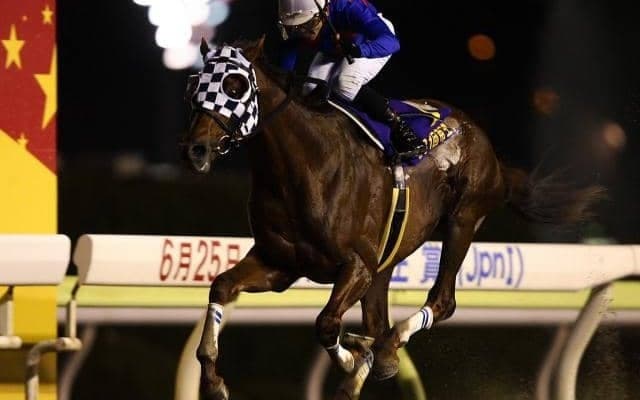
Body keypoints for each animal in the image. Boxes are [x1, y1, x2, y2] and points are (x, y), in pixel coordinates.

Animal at [181, 37, 603, 400]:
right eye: (194, 84)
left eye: (235, 84)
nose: (196, 149)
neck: (303, 168)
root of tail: (485, 145)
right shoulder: (280, 264)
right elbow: (221, 286)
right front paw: (214, 382)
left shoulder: (356, 265)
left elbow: (327, 324)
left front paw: (353, 359)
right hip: (389, 258)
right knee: (378, 322)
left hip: (463, 219)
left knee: (439, 303)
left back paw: (383, 347)